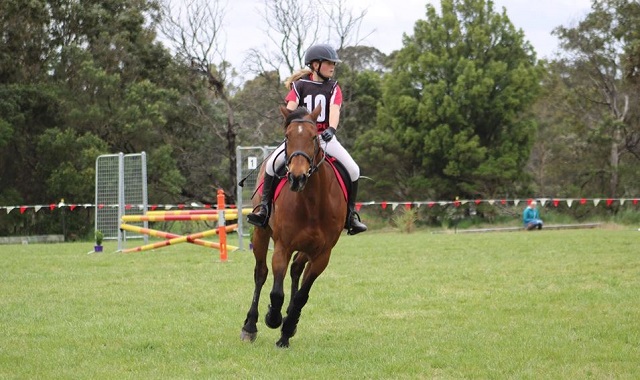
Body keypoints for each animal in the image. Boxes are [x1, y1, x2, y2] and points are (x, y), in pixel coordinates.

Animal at [241, 104, 350, 348]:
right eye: (287, 136)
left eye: (313, 137)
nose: (297, 177)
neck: (312, 204)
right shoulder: (283, 246)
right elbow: (276, 292)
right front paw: (273, 318)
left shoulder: (322, 254)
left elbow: (302, 295)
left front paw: (287, 329)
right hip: (261, 234)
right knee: (261, 273)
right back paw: (250, 326)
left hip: (307, 248)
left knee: (296, 270)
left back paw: (290, 320)